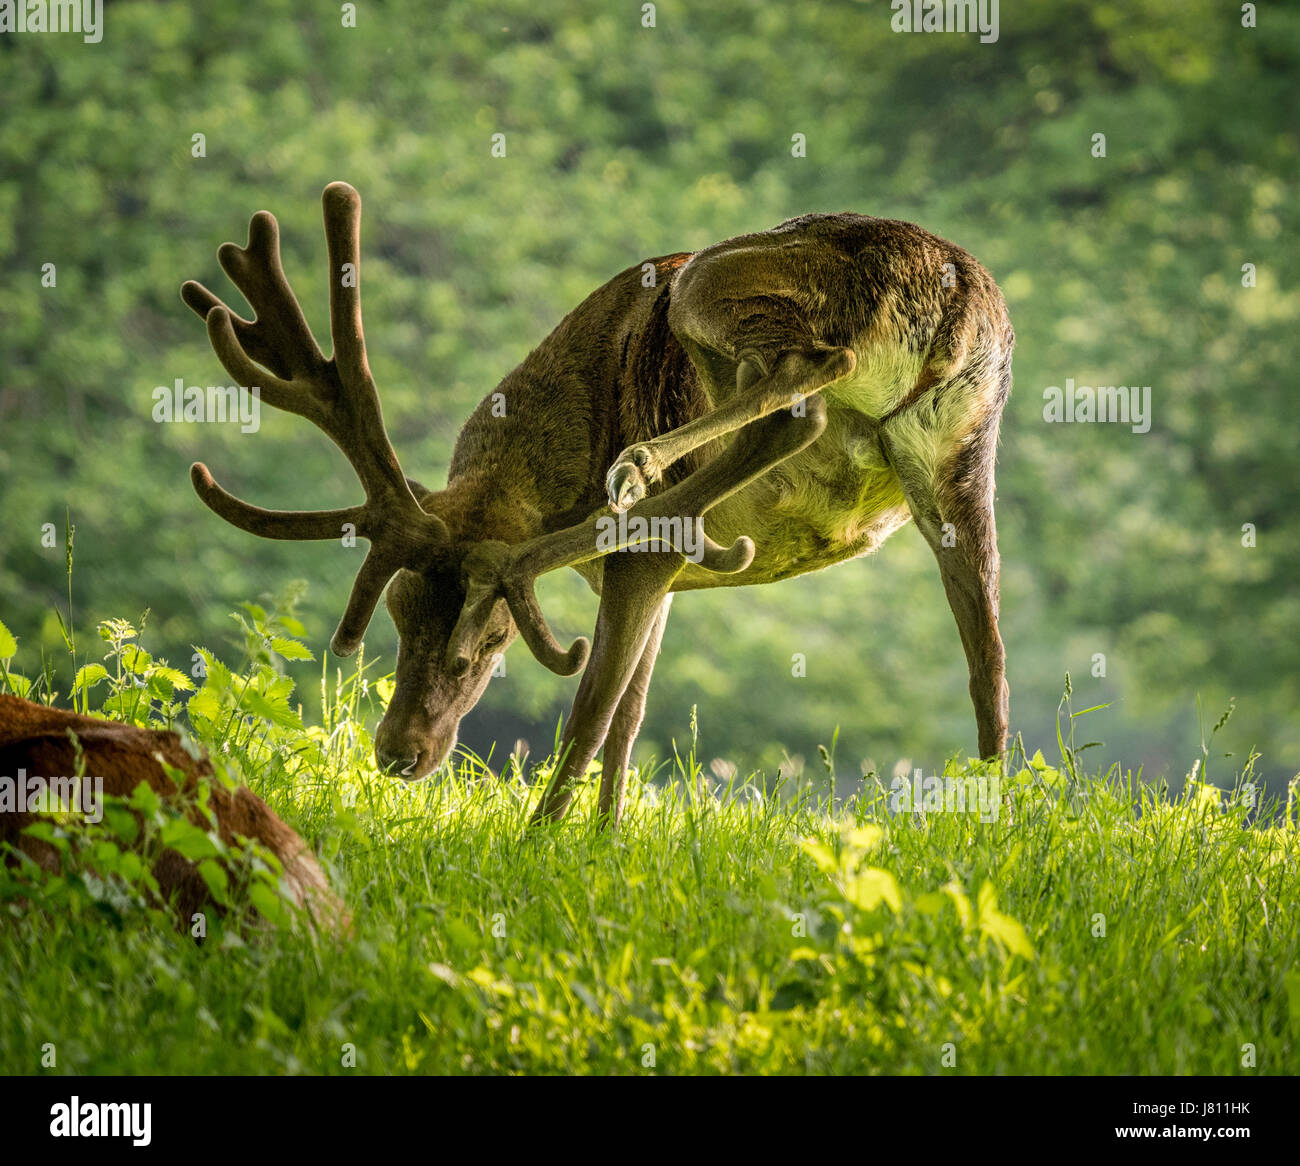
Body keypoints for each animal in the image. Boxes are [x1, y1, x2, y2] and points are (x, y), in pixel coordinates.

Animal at [181, 182, 1013, 829]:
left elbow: (592, 713)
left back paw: (646, 464)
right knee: (988, 661)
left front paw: (541, 843)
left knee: (800, 386)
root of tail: (950, 291)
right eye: (398, 610)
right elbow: (632, 714)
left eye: (491, 642)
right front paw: (607, 840)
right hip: (961, 461)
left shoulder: (647, 556)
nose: (398, 755)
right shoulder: (664, 578)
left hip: (719, 287)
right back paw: (991, 820)